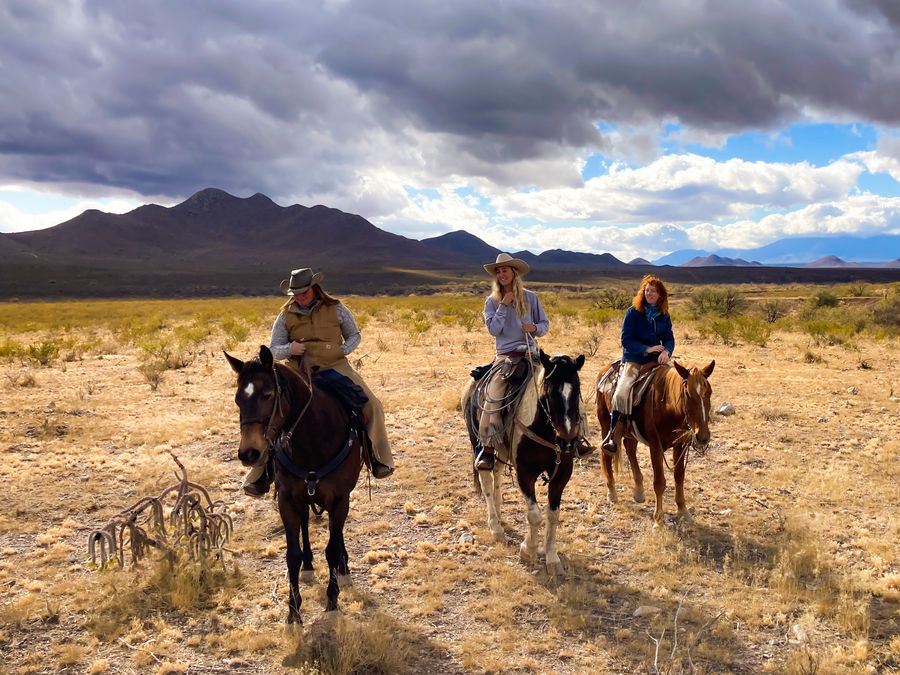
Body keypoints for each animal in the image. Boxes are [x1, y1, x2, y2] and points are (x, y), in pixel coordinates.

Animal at [225, 346, 362, 624]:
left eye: (267, 395)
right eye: (237, 399)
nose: (249, 453)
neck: (313, 441)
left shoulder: (340, 498)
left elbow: (332, 549)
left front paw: (332, 601)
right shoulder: (286, 499)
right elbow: (292, 555)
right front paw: (293, 612)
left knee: (336, 532)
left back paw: (343, 569)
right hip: (302, 497)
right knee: (306, 524)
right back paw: (309, 566)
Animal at [460, 348, 588, 576]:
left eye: (577, 390)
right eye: (548, 392)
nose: (567, 441)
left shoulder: (562, 473)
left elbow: (553, 515)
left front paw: (552, 558)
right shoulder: (525, 472)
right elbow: (535, 514)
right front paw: (528, 550)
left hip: (501, 448)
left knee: (497, 473)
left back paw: (499, 510)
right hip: (478, 441)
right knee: (486, 479)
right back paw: (495, 526)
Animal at [596, 362, 716, 524]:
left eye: (709, 392)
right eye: (687, 394)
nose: (702, 437)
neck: (667, 408)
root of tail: (605, 369)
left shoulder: (680, 445)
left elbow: (679, 477)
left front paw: (683, 511)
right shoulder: (655, 446)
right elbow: (659, 482)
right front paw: (658, 520)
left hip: (632, 433)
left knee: (630, 450)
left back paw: (639, 490)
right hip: (605, 424)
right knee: (606, 453)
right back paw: (612, 492)